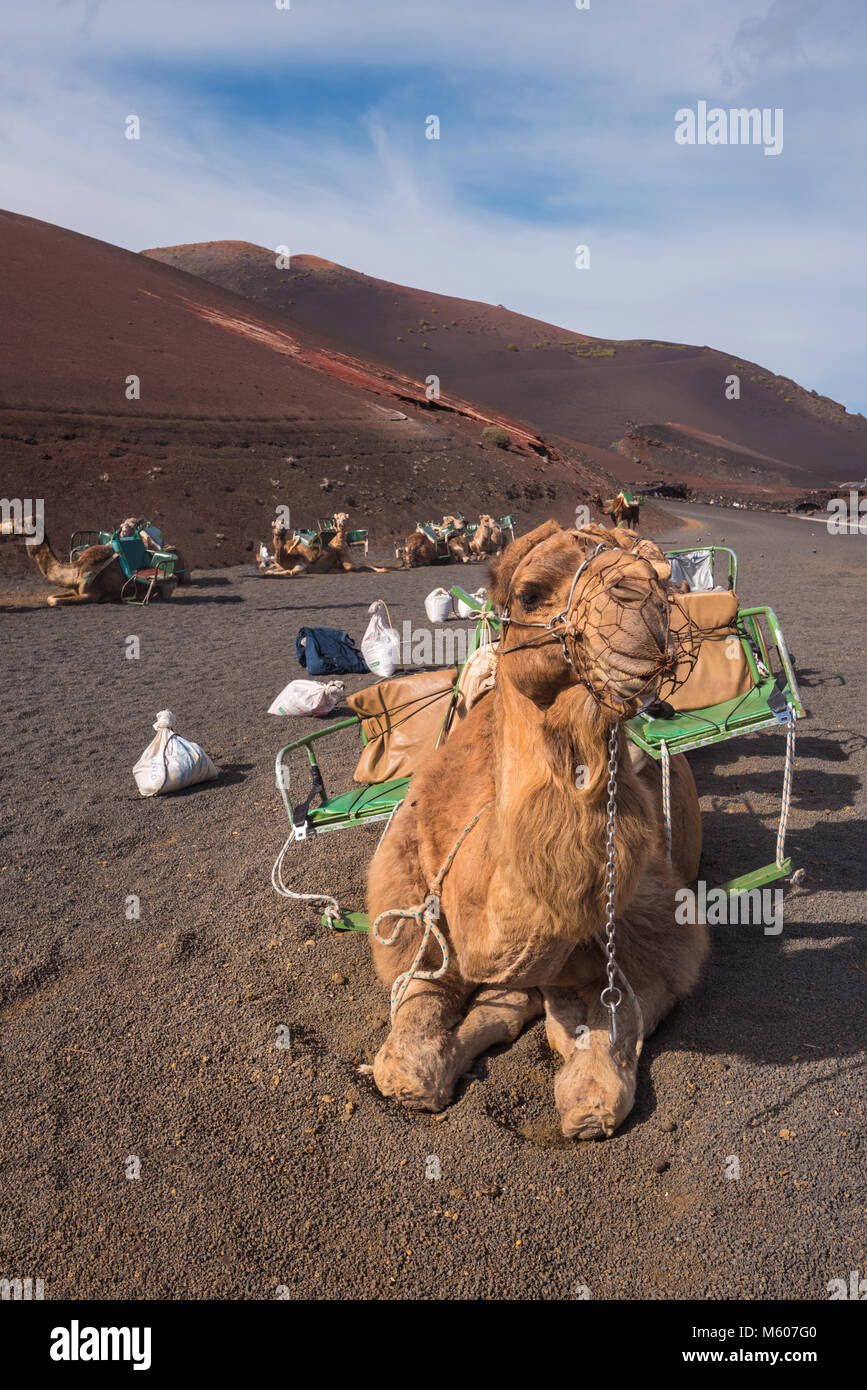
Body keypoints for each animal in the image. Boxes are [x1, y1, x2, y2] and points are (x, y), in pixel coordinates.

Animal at [1, 516, 176, 605]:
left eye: (19, 521)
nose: (2, 526)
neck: (76, 571)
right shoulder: (74, 590)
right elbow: (50, 598)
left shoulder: (90, 595)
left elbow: (54, 601)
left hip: (165, 585)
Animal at [366, 520, 706, 1140]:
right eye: (529, 593)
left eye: (662, 571)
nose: (639, 597)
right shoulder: (412, 916)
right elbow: (408, 1060)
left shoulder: (656, 940)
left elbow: (605, 1050)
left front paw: (585, 1091)